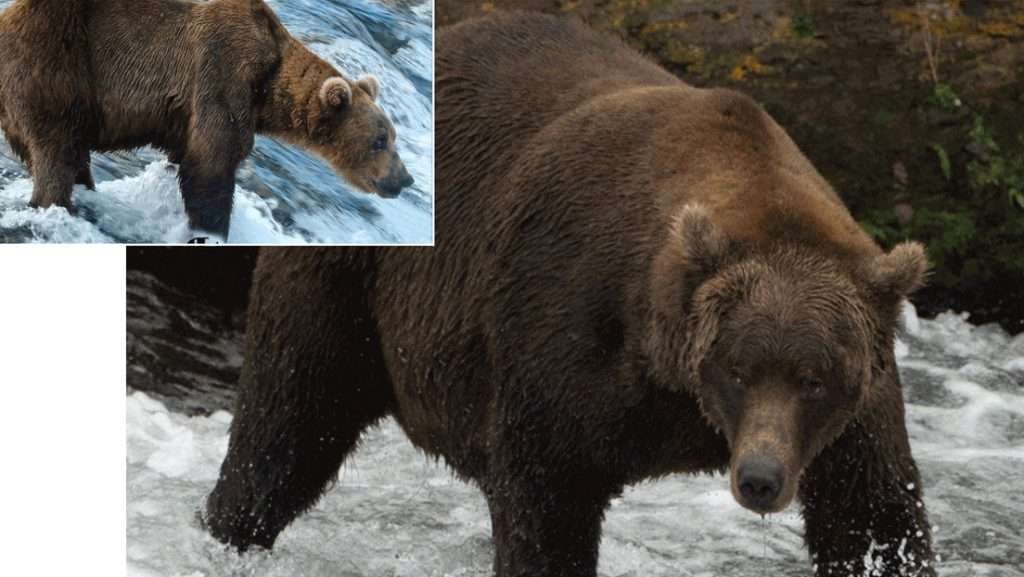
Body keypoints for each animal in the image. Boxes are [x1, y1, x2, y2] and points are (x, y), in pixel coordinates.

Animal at [0, 0, 413, 242]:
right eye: (380, 140)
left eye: (393, 137)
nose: (404, 179)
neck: (267, 84)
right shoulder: (222, 72)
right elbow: (212, 161)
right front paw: (210, 228)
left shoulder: (183, 115)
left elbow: (185, 156)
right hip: (55, 64)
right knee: (56, 150)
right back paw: (56, 205)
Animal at [204, 12, 936, 577]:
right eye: (736, 367)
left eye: (814, 378)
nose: (760, 478)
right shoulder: (564, 326)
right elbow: (547, 498)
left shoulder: (858, 407)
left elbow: (872, 516)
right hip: (349, 286)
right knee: (290, 421)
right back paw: (229, 526)